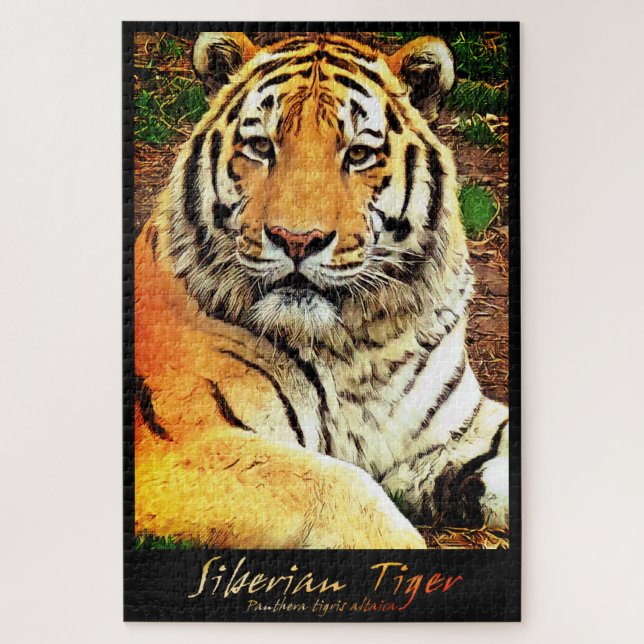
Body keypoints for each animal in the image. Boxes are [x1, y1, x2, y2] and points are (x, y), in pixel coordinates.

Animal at [134, 32, 509, 549]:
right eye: (261, 146)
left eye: (358, 154)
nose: (297, 239)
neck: (359, 343)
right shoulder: (184, 446)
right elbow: (340, 485)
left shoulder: (461, 434)